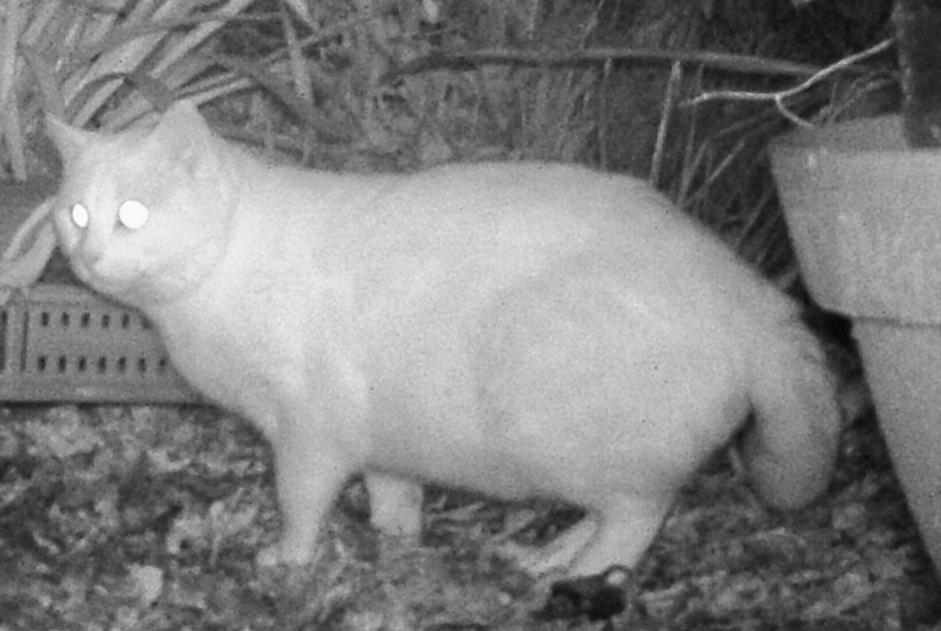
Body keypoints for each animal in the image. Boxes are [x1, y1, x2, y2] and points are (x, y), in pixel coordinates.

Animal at [46, 101, 836, 580]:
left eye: (133, 215)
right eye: (77, 213)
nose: (88, 255)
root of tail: (747, 289)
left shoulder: (308, 428)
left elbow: (299, 500)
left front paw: (289, 560)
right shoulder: (382, 435)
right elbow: (394, 494)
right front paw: (396, 545)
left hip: (557, 412)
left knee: (640, 511)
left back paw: (581, 570)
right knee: (611, 507)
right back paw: (547, 556)